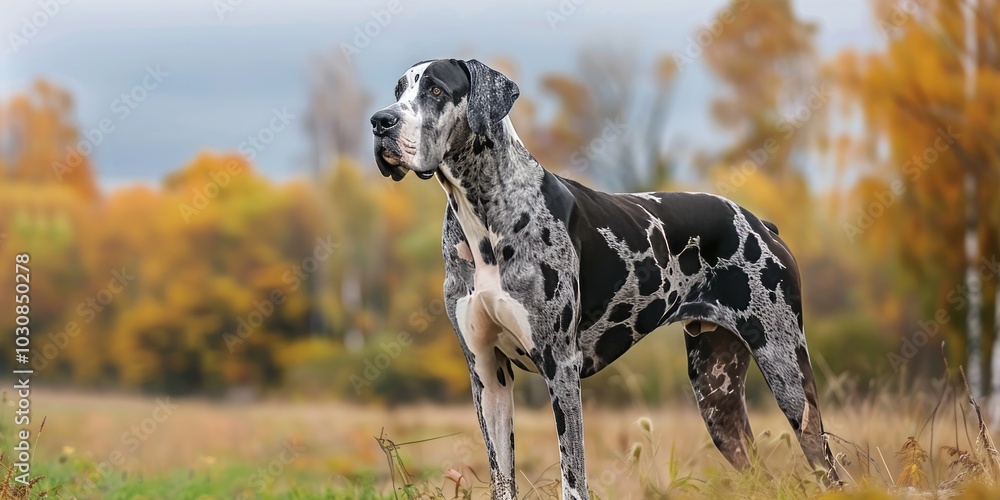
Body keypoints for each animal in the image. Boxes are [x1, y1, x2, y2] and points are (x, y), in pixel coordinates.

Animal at [372, 59, 840, 500]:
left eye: (436, 89)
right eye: (397, 91)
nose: (380, 121)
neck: (484, 219)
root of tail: (762, 223)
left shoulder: (561, 368)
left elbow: (573, 476)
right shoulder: (487, 374)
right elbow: (501, 477)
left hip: (787, 373)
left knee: (830, 469)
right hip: (716, 397)